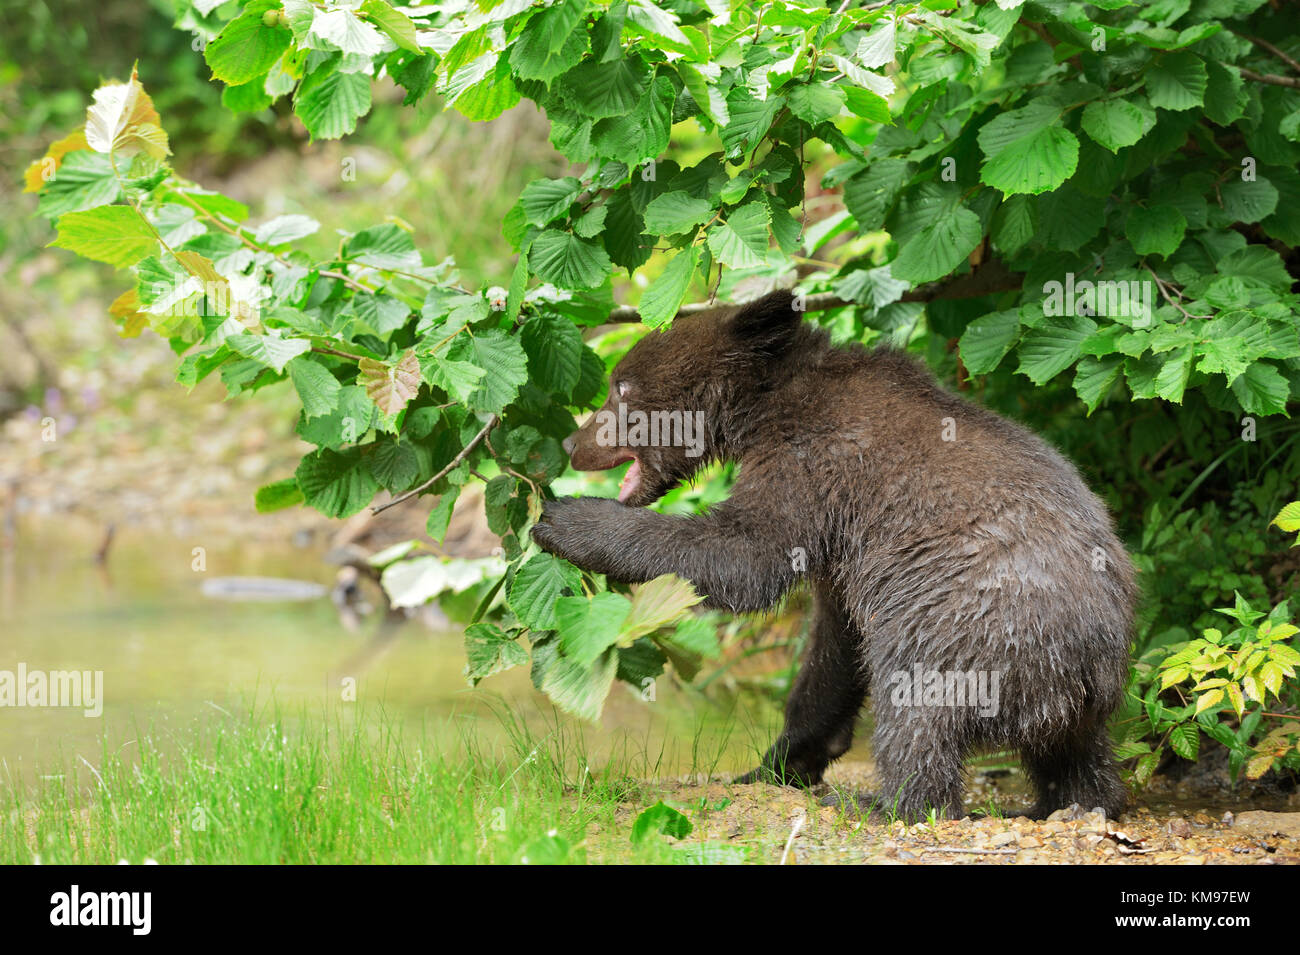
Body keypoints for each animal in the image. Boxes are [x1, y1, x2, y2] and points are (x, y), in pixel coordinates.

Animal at [531, 289, 1136, 821]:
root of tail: (1090, 663)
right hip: (1068, 694)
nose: (572, 444)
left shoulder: (815, 470)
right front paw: (778, 762)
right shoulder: (841, 546)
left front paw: (566, 520)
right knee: (1077, 756)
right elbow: (833, 647)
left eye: (619, 385)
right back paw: (1073, 801)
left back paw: (885, 802)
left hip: (969, 623)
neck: (760, 409)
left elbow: (744, 555)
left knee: (917, 708)